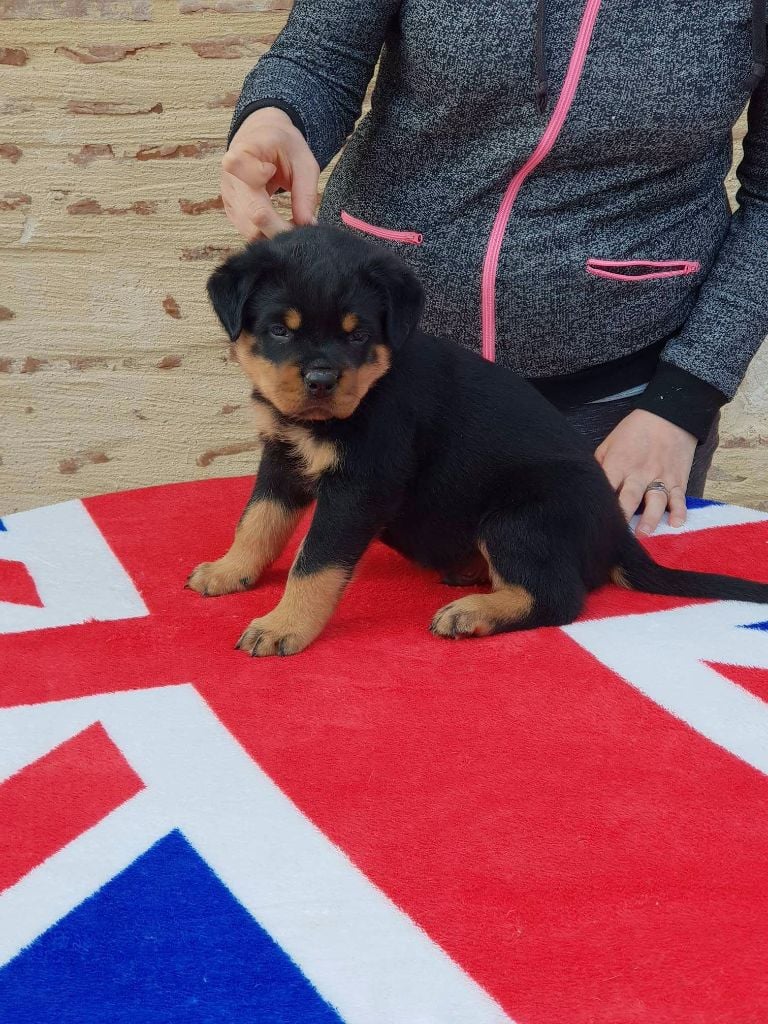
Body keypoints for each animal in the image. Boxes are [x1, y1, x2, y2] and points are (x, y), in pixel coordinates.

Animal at [188, 225, 768, 657]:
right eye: (279, 330)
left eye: (358, 335)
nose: (321, 380)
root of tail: (615, 532)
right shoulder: (281, 456)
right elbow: (258, 520)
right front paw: (230, 571)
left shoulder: (359, 485)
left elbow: (315, 562)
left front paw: (283, 625)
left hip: (519, 517)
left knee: (559, 597)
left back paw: (473, 613)